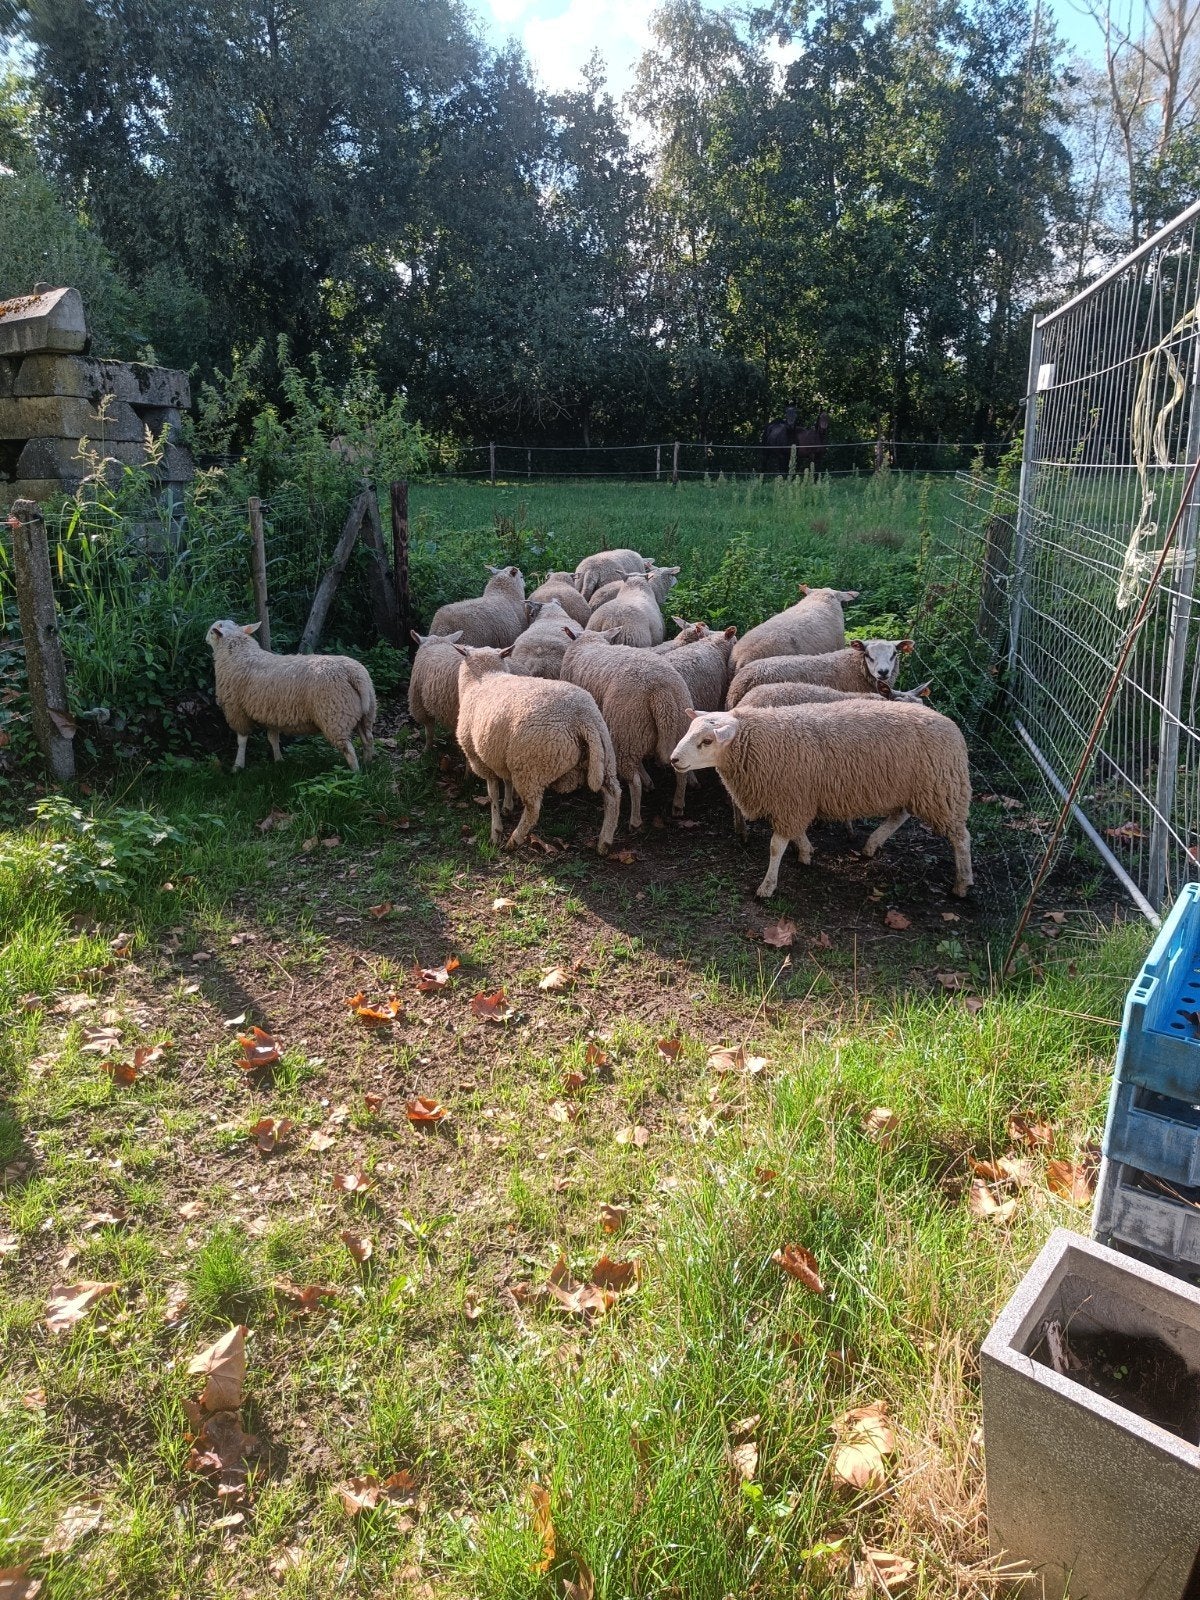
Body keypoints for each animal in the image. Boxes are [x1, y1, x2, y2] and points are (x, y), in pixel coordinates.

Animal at [206, 620, 376, 772]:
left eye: (213, 629)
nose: (206, 638)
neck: (239, 654)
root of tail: (354, 674)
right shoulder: (270, 714)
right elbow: (273, 738)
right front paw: (279, 760)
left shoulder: (236, 709)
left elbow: (241, 740)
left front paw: (237, 766)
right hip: (366, 713)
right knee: (368, 739)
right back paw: (368, 764)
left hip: (335, 714)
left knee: (348, 749)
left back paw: (355, 774)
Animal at [455, 645, 620, 854]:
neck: (485, 677)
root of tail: (581, 715)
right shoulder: (501, 755)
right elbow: (506, 782)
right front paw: (507, 807)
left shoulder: (481, 760)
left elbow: (492, 795)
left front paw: (495, 831)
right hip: (605, 757)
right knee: (613, 795)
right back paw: (604, 842)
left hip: (530, 766)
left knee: (533, 810)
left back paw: (514, 840)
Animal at [561, 629, 692, 828]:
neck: (588, 642)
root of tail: (661, 691)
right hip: (667, 730)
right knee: (680, 772)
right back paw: (677, 805)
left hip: (626, 730)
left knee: (634, 781)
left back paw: (635, 820)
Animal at [669, 699, 973, 899]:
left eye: (707, 741)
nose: (673, 760)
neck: (762, 742)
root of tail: (952, 726)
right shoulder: (795, 800)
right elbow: (796, 834)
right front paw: (806, 852)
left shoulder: (791, 798)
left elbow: (776, 846)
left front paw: (767, 886)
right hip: (916, 789)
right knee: (901, 815)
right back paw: (872, 845)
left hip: (942, 790)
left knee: (961, 838)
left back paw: (962, 883)